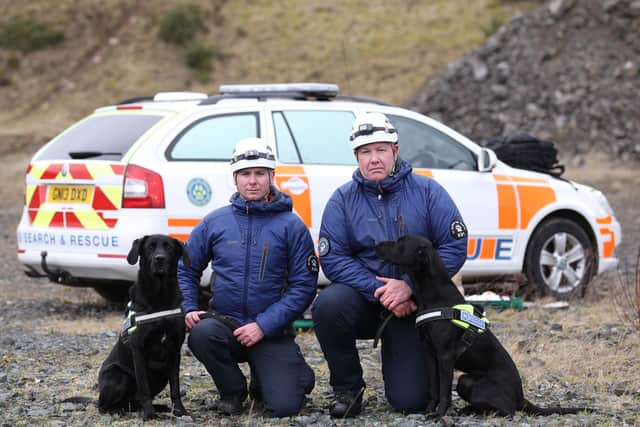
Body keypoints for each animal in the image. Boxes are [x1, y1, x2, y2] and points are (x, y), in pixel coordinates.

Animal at [98, 236, 190, 420]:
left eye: (169, 247)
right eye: (150, 247)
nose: (160, 258)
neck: (160, 296)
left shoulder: (175, 350)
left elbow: (175, 387)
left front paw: (179, 411)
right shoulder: (138, 349)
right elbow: (144, 388)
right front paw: (149, 414)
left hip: (161, 374)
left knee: (133, 403)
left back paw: (158, 408)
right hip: (118, 375)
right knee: (102, 406)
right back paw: (117, 410)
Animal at [376, 234, 592, 418]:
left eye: (400, 242)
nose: (376, 244)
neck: (433, 295)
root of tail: (520, 397)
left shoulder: (445, 357)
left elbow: (444, 392)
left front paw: (439, 415)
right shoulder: (430, 354)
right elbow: (433, 389)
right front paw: (429, 411)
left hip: (475, 386)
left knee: (508, 411)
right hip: (465, 381)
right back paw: (466, 410)